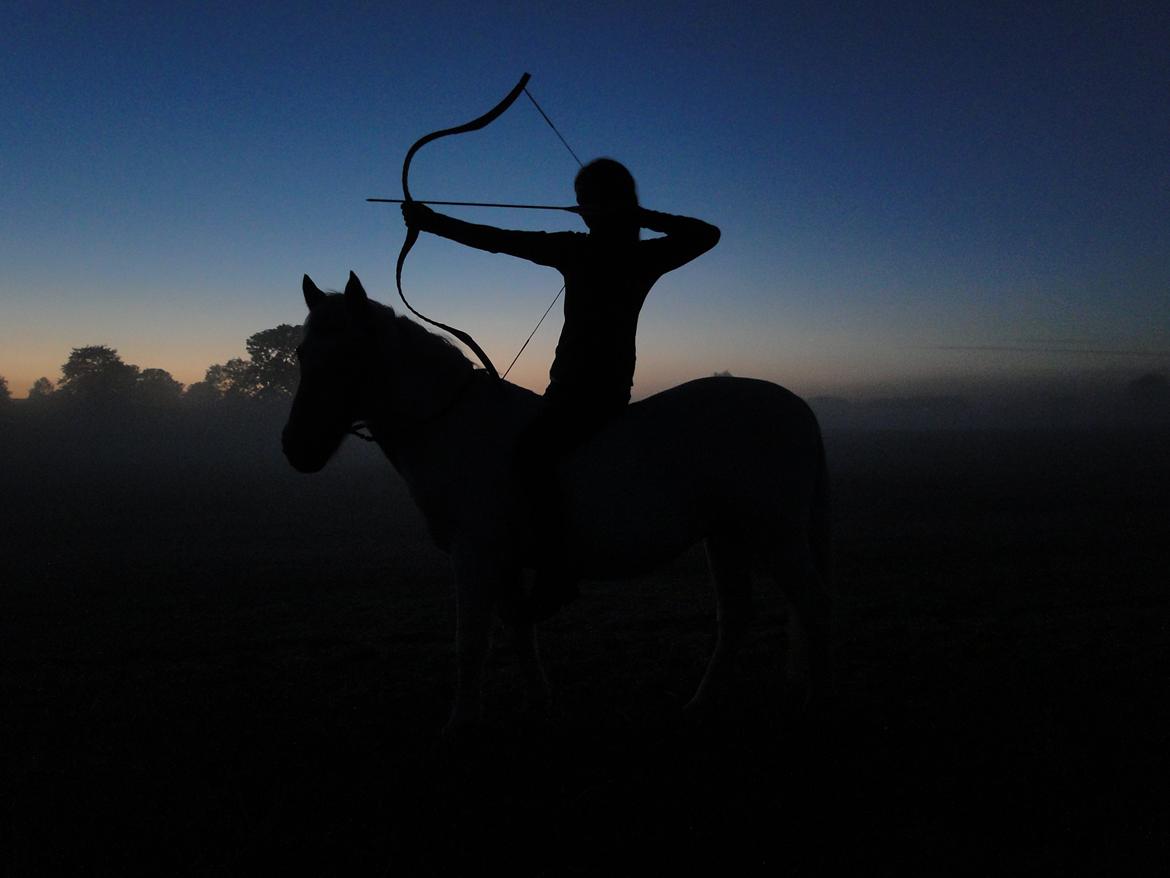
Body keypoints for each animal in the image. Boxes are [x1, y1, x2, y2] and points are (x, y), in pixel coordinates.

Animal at [283, 271, 833, 730]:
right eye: (301, 354)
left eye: (350, 357)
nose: (297, 448)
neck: (453, 425)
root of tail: (799, 408)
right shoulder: (502, 561)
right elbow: (518, 631)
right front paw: (538, 702)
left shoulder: (474, 554)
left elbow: (470, 642)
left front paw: (461, 723)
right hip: (724, 536)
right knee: (736, 615)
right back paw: (700, 704)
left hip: (776, 536)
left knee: (812, 605)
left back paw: (815, 703)